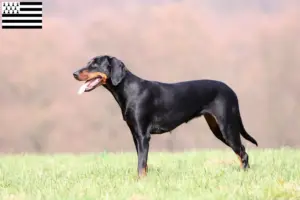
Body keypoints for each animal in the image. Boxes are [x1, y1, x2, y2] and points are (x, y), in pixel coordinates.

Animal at [73, 55, 258, 178]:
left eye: (94, 64)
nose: (74, 73)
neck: (128, 89)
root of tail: (231, 91)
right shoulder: (135, 134)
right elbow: (142, 161)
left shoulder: (143, 135)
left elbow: (141, 163)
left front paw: (140, 182)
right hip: (217, 128)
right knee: (241, 152)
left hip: (227, 126)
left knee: (243, 152)